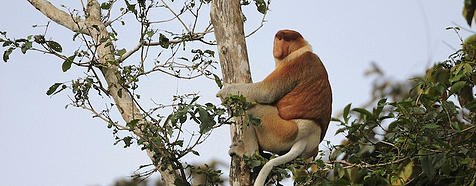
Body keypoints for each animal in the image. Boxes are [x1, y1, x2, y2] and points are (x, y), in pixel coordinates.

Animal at [217, 29, 330, 185]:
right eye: (279, 38)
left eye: (285, 39)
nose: (277, 47)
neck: (301, 50)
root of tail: (307, 137)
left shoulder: (294, 65)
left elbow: (265, 92)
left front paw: (224, 92)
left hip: (282, 132)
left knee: (253, 109)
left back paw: (247, 152)